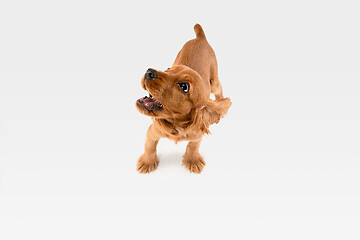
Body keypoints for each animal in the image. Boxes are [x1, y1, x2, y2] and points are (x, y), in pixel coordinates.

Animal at [135, 24, 231, 173]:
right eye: (168, 69)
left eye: (184, 86)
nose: (149, 71)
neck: (177, 125)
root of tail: (200, 37)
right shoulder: (152, 132)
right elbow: (149, 147)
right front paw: (147, 162)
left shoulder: (197, 135)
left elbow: (193, 147)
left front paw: (193, 161)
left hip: (214, 80)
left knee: (219, 89)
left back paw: (220, 103)